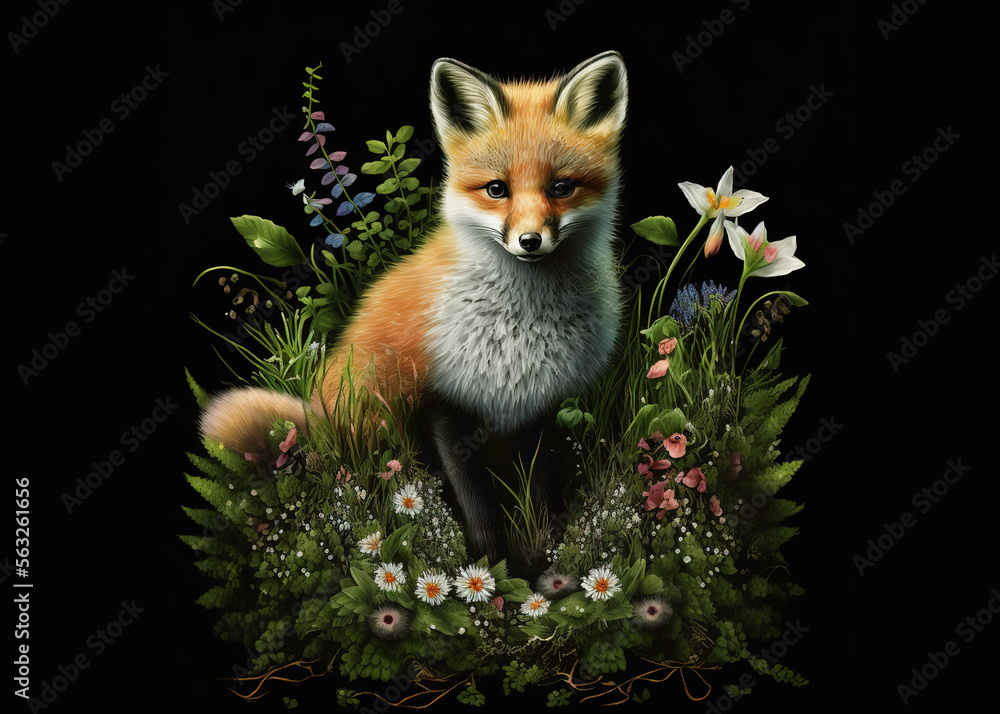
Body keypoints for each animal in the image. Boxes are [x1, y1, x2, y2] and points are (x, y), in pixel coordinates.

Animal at [199, 51, 628, 564]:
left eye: (561, 187)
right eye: (496, 189)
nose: (529, 241)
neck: (518, 333)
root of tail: (320, 409)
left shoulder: (541, 405)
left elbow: (542, 500)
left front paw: (542, 563)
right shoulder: (443, 403)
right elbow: (477, 511)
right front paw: (488, 569)